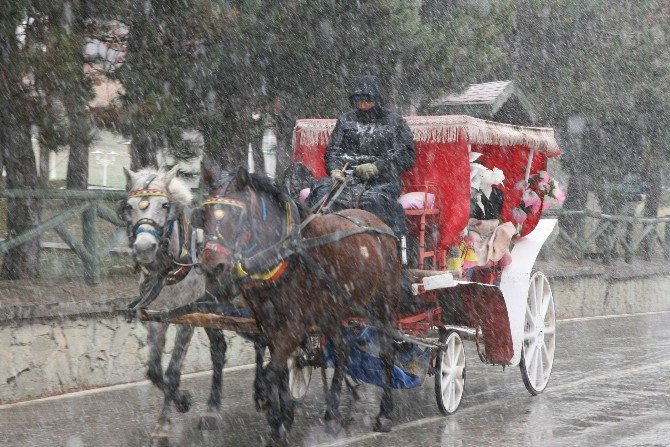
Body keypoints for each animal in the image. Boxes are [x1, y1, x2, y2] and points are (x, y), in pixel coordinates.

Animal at [119, 167, 266, 444]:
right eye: (130, 207)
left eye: (165, 205)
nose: (144, 247)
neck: (171, 268)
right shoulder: (159, 318)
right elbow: (154, 370)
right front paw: (183, 401)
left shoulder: (184, 321)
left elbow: (173, 371)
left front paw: (163, 425)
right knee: (220, 350)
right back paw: (213, 410)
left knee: (266, 342)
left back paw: (264, 393)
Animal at [197, 166, 402, 446]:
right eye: (203, 214)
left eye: (237, 214)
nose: (212, 267)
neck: (285, 255)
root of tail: (379, 224)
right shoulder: (269, 321)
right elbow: (280, 369)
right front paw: (282, 417)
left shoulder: (295, 324)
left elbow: (271, 372)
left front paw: (274, 415)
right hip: (331, 312)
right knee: (342, 349)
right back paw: (332, 413)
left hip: (384, 305)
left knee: (387, 353)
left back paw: (385, 413)